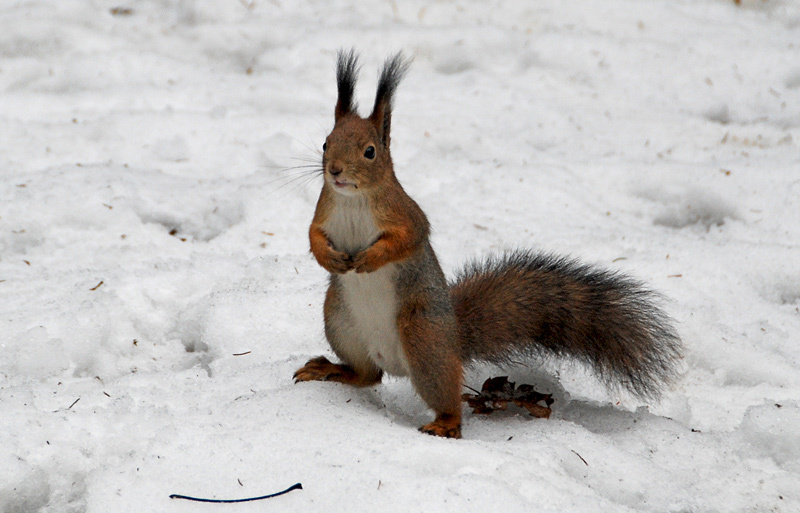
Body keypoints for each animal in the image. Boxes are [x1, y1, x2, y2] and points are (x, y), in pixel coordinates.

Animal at [293, 50, 682, 439]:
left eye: (370, 152)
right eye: (326, 142)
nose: (335, 171)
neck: (353, 200)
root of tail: (452, 340)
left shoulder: (406, 214)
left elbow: (406, 240)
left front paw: (370, 258)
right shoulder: (324, 213)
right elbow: (313, 236)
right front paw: (330, 259)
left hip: (423, 339)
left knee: (442, 395)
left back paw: (445, 424)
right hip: (341, 323)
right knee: (367, 376)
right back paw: (331, 369)